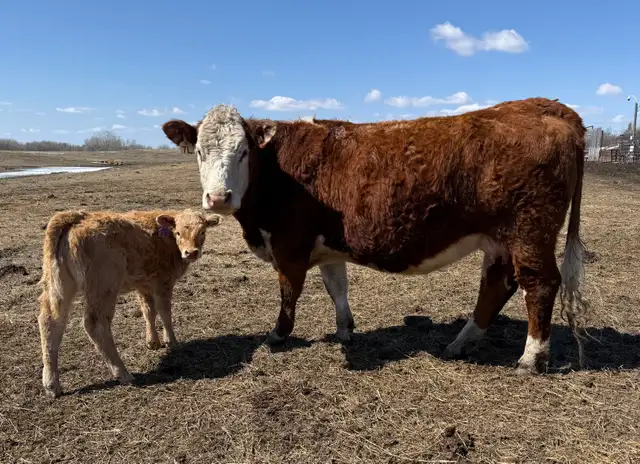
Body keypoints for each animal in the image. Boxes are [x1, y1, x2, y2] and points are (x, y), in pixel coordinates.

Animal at [38, 208, 221, 398]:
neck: (165, 239)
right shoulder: (163, 282)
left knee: (50, 322)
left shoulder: (144, 285)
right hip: (104, 287)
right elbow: (164, 312)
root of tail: (78, 217)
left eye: (202, 231)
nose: (190, 252)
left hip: (59, 287)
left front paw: (153, 342)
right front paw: (172, 342)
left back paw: (52, 384)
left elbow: (149, 311)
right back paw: (123, 373)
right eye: (178, 232)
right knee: (95, 324)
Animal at [161, 97, 589, 375]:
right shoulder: (328, 247)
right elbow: (337, 287)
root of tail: (545, 105)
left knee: (539, 284)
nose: (218, 197)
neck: (277, 173)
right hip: (498, 238)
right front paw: (345, 329)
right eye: (198, 152)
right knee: (497, 285)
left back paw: (531, 359)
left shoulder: (289, 245)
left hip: (529, 230)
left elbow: (288, 293)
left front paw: (277, 336)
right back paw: (461, 343)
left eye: (243, 152)